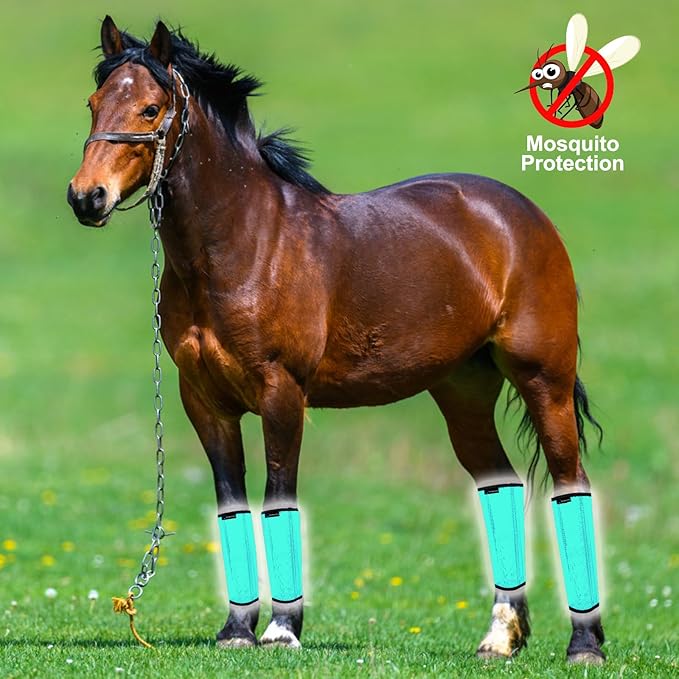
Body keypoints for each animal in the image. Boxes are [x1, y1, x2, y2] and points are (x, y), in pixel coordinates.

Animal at [68, 16, 606, 664]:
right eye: (94, 103)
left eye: (151, 108)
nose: (86, 197)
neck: (245, 243)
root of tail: (520, 213)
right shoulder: (204, 402)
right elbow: (231, 505)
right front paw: (236, 630)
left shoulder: (281, 394)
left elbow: (278, 497)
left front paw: (281, 630)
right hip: (463, 391)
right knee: (499, 484)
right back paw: (500, 637)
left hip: (543, 380)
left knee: (571, 484)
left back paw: (584, 643)